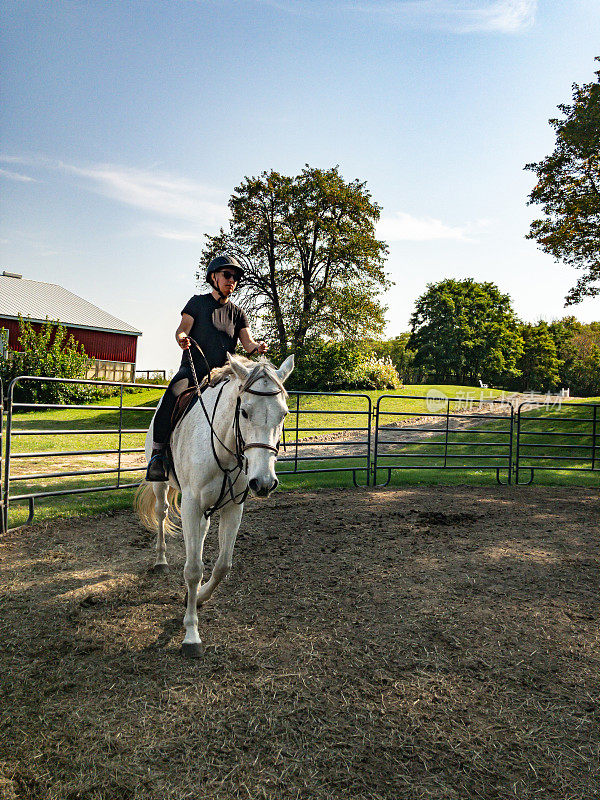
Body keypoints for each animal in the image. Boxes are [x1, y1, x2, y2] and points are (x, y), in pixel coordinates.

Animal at [137, 354, 296, 652]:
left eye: (284, 414)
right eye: (244, 412)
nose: (264, 482)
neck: (225, 449)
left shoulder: (233, 507)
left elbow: (223, 565)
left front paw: (198, 597)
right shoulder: (190, 506)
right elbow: (193, 569)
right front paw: (191, 633)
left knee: (201, 533)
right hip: (162, 485)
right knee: (162, 514)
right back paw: (161, 560)